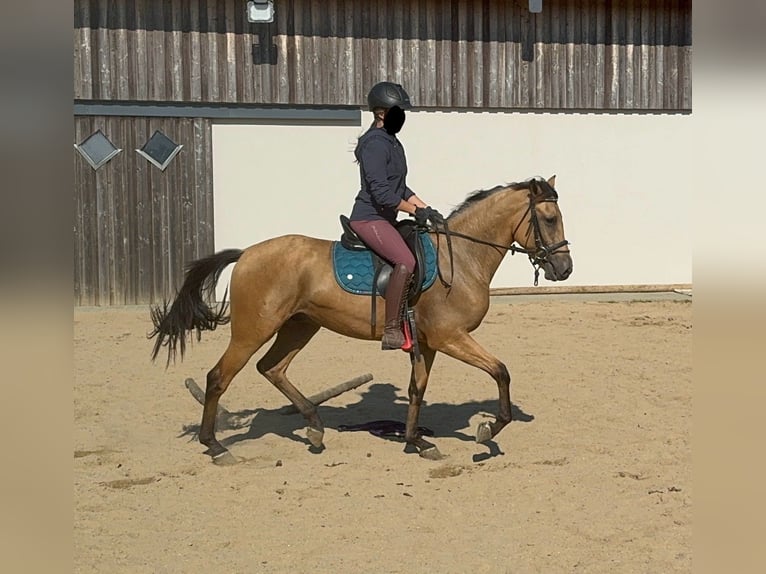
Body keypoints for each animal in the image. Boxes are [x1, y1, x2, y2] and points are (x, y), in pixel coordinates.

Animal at [150, 174, 572, 464]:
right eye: (550, 218)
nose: (565, 269)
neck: (461, 257)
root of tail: (248, 252)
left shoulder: (429, 343)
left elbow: (417, 389)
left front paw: (415, 441)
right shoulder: (450, 337)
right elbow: (501, 371)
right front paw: (488, 430)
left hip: (300, 325)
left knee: (272, 368)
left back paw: (315, 428)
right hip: (254, 330)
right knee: (218, 377)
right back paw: (216, 446)